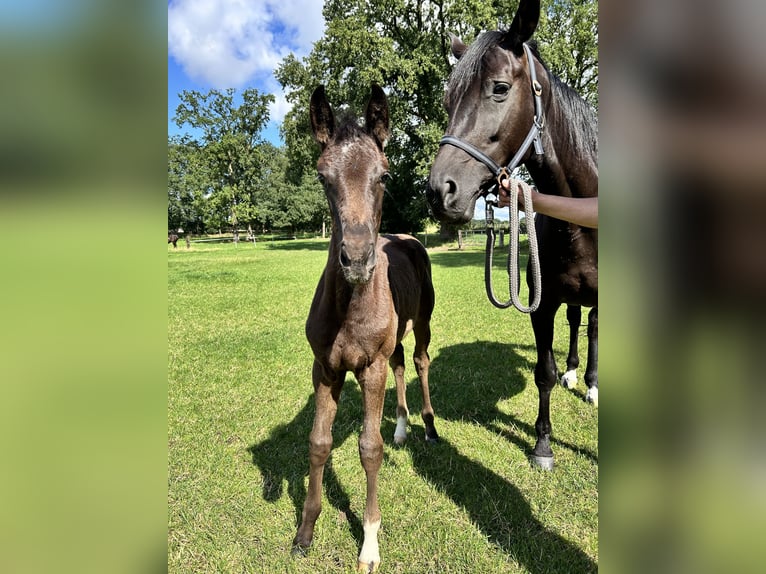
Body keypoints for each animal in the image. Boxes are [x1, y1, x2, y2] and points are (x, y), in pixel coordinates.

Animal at [292, 84, 438, 572]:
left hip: (423, 321)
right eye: (323, 177)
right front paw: (305, 531)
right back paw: (401, 427)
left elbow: (368, 449)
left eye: (384, 176)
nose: (356, 259)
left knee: (419, 361)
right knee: (401, 364)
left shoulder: (368, 368)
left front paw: (370, 544)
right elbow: (319, 442)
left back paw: (427, 426)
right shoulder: (326, 370)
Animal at [426, 0, 600, 472]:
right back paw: (574, 371)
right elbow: (544, 373)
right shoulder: (542, 304)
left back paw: (591, 382)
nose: (439, 191)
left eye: (500, 88)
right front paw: (543, 444)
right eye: (447, 100)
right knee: (576, 323)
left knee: (594, 327)